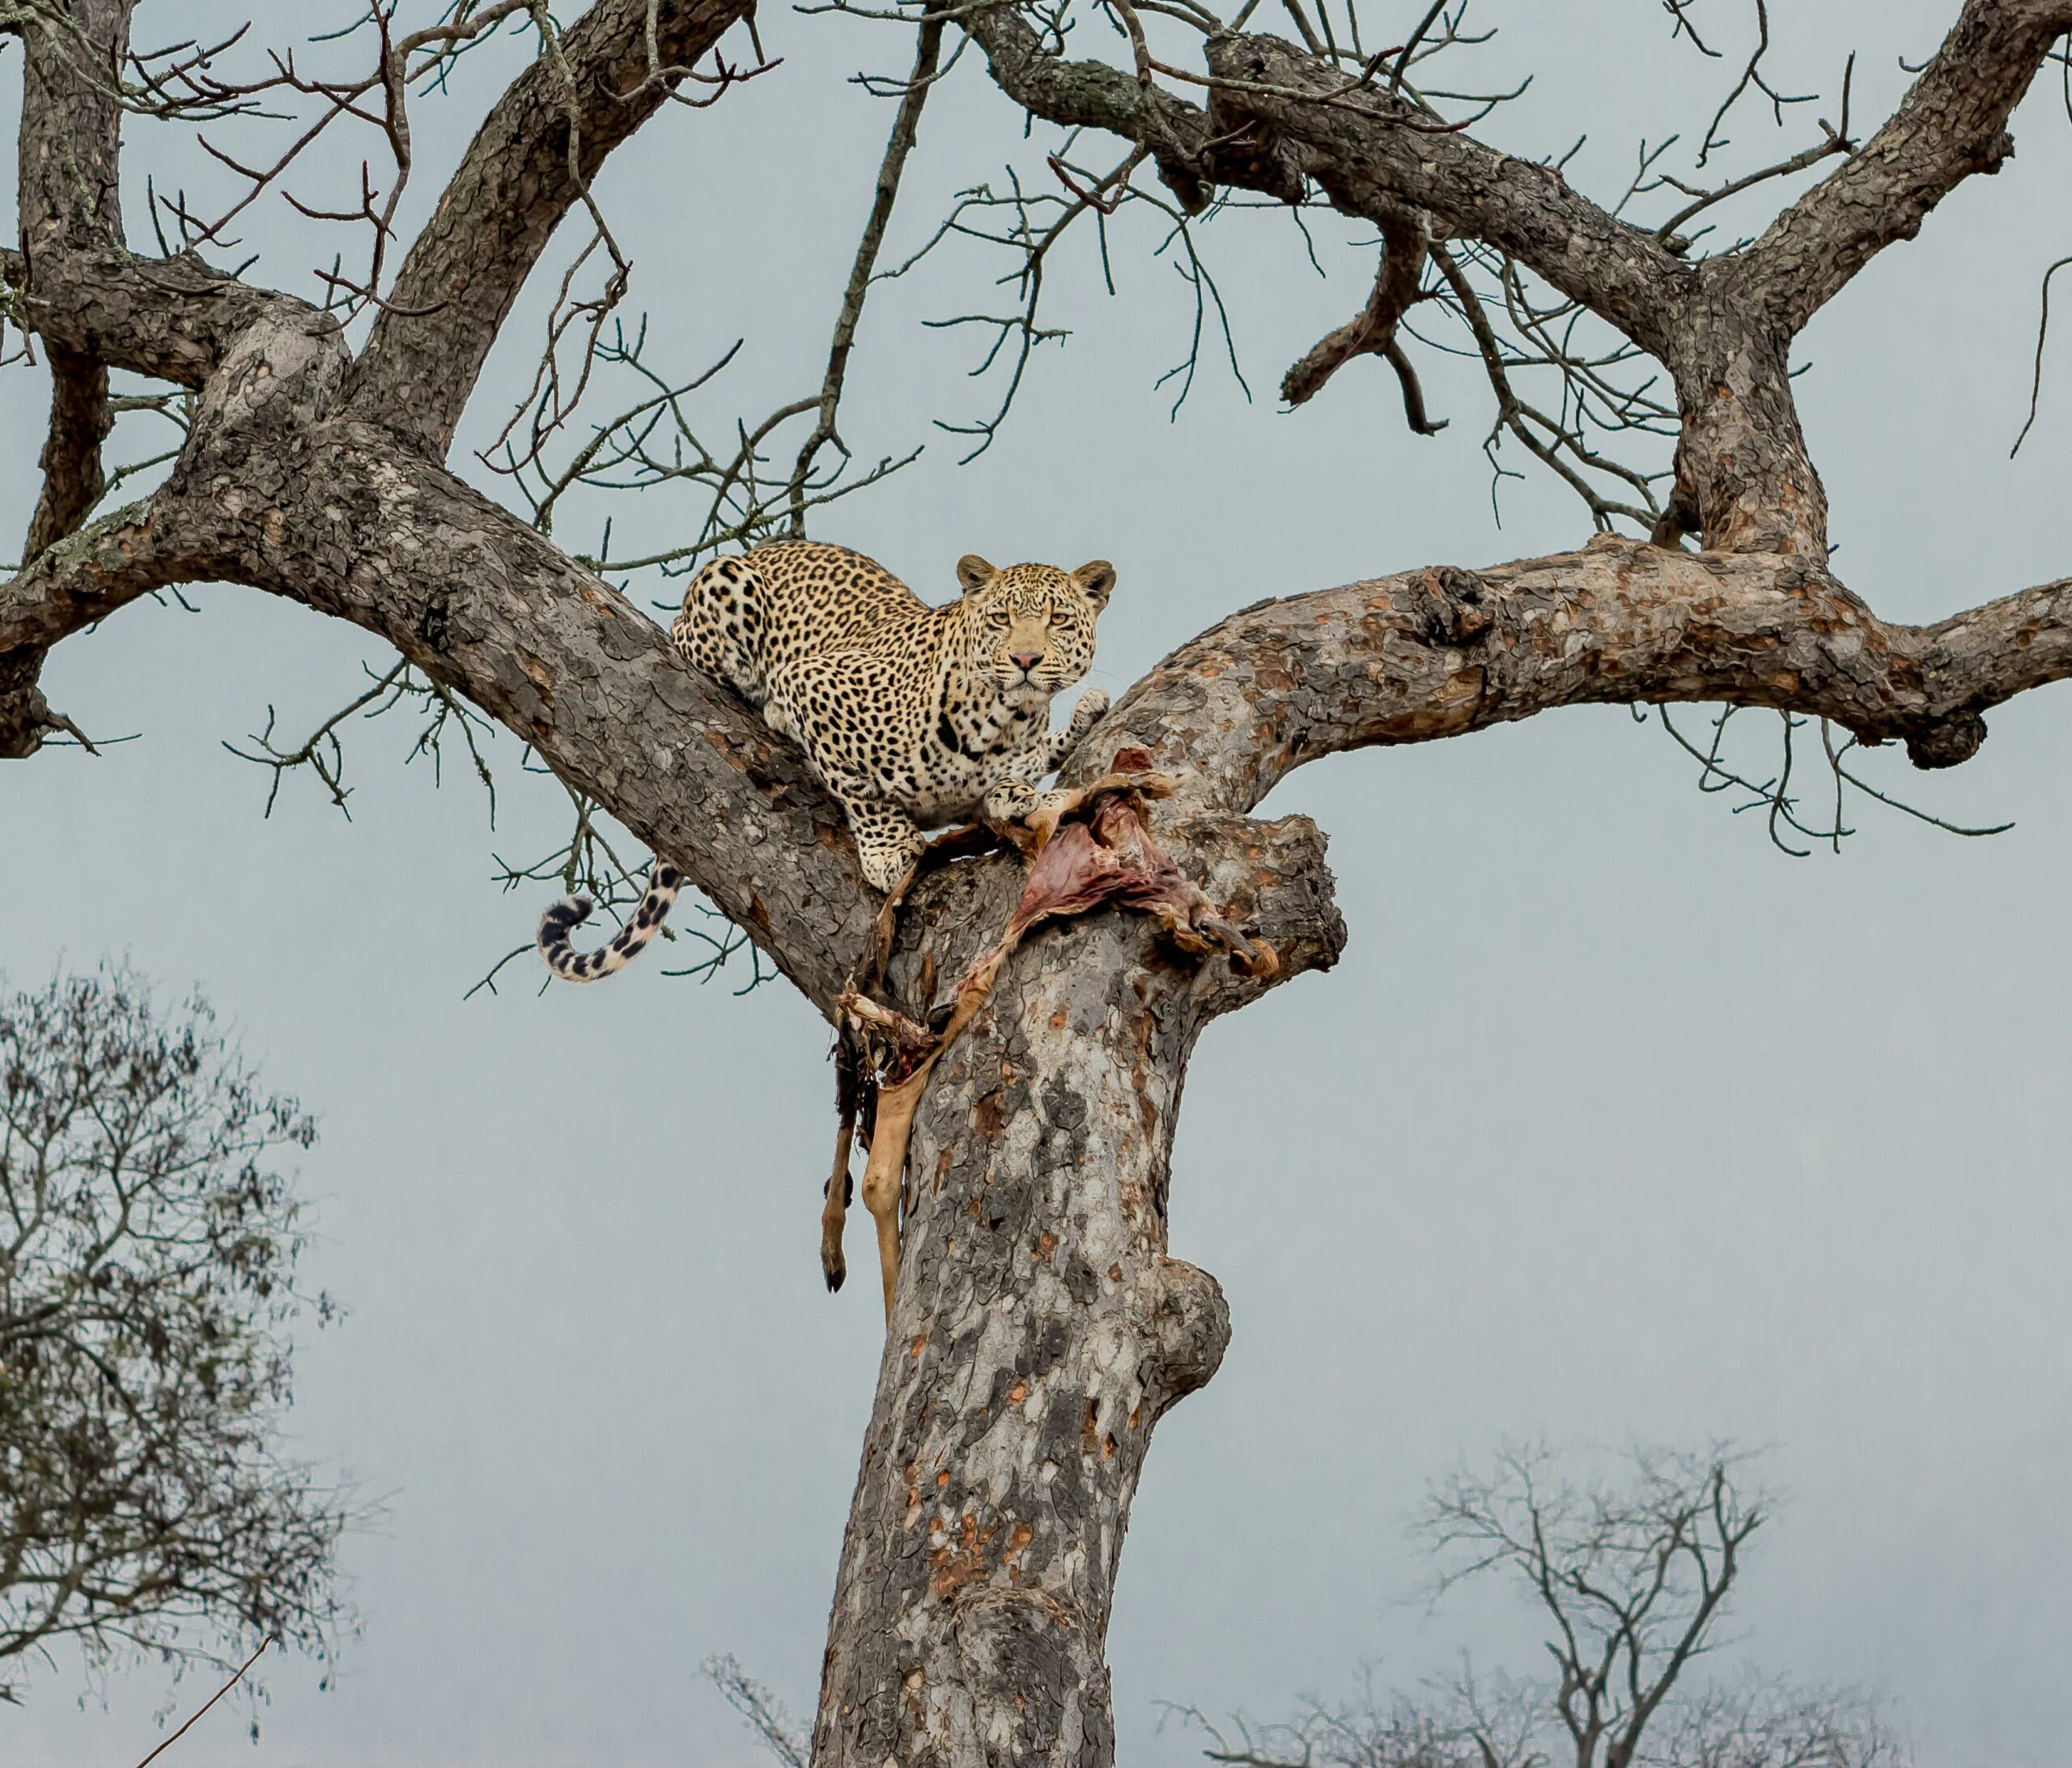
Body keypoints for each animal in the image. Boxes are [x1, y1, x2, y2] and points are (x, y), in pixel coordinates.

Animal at [534, 538, 1119, 978]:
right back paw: (762, 700)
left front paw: (1048, 764)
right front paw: (890, 850)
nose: (1025, 659)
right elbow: (861, 791)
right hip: (725, 579)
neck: (1003, 718)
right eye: (1000, 618)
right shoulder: (815, 681)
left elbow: (1014, 785)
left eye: (1058, 620)